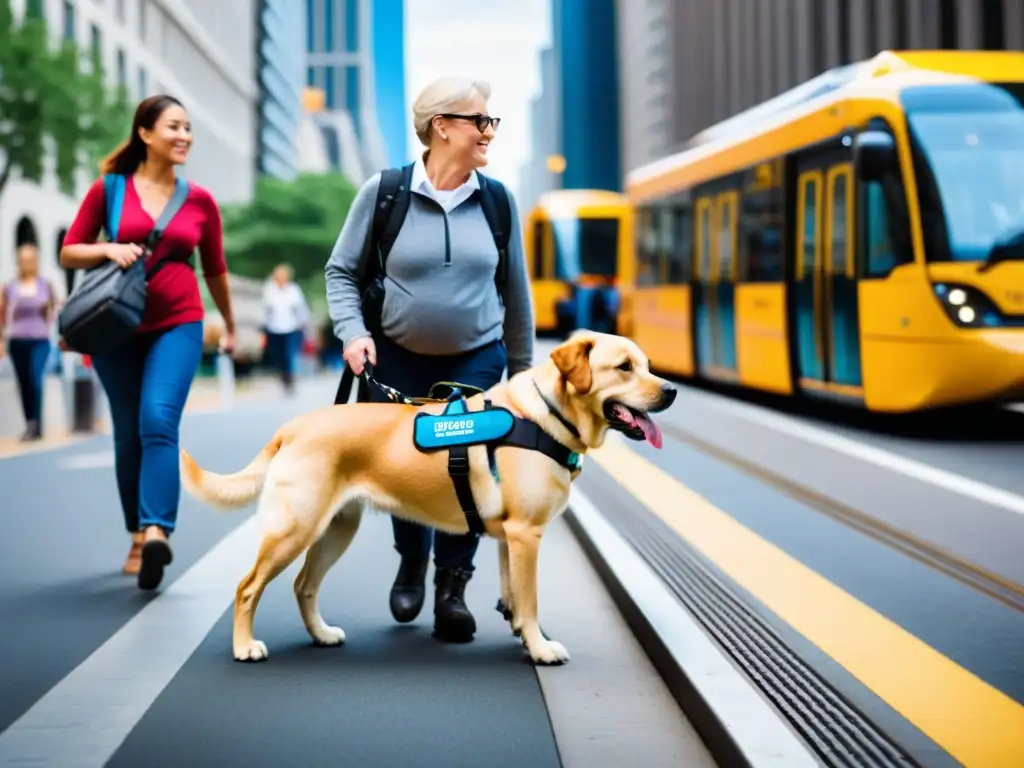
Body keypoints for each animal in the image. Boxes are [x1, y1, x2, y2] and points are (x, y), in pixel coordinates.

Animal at [180, 333, 675, 663]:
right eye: (624, 367)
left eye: (647, 363)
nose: (671, 390)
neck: (545, 415)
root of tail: (293, 426)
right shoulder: (526, 534)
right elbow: (531, 599)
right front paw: (539, 648)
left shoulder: (510, 538)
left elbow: (515, 596)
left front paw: (521, 633)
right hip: (294, 528)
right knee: (248, 587)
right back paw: (244, 646)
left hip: (336, 529)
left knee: (304, 585)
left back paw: (321, 634)